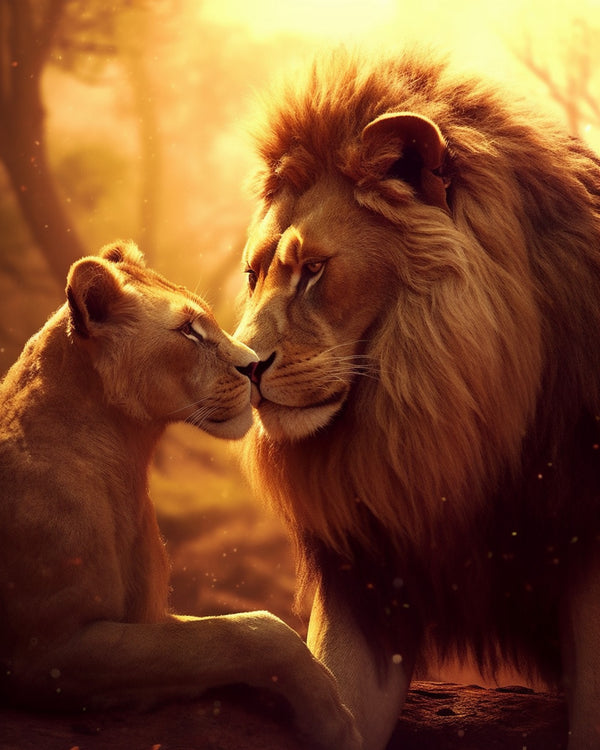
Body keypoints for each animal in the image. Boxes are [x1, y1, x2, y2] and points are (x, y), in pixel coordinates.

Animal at [0, 240, 360, 750]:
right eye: (189, 331)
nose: (254, 365)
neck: (122, 460)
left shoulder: (148, 618)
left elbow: (217, 637)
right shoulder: (46, 653)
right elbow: (246, 632)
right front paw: (333, 718)